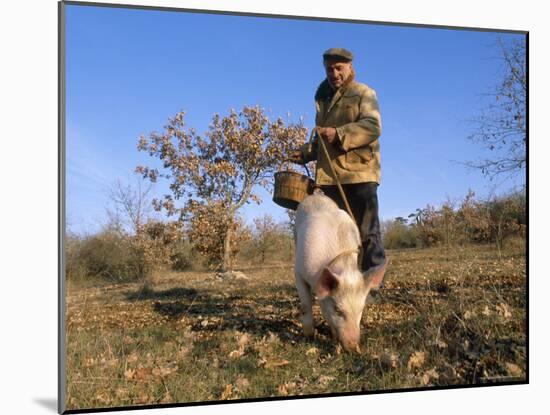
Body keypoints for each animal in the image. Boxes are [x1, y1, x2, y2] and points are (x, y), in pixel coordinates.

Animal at [294, 191, 388, 352]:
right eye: (338, 310)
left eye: (361, 309)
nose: (353, 346)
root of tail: (316, 194)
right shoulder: (298, 272)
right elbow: (306, 305)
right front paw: (309, 336)